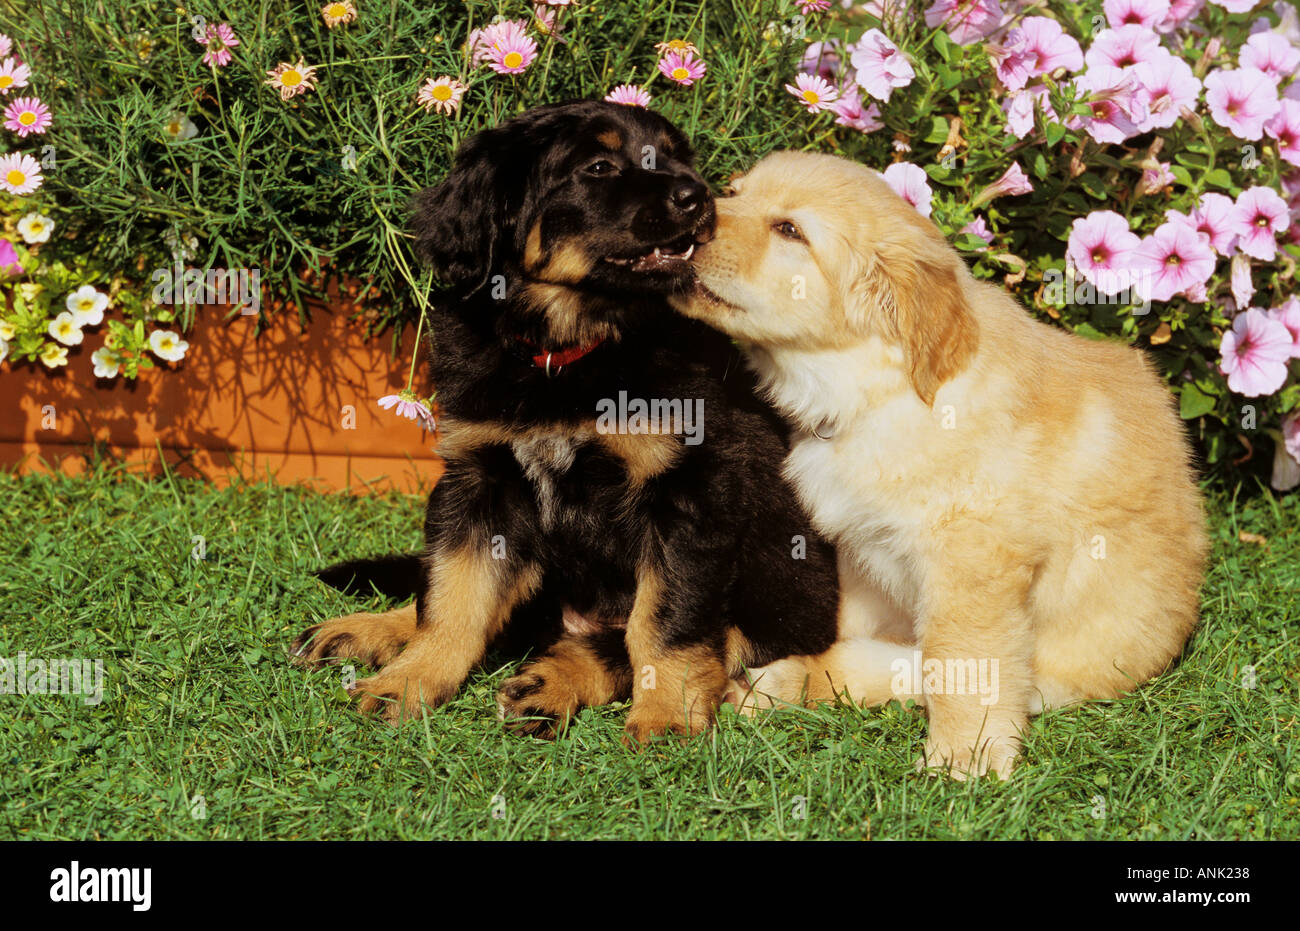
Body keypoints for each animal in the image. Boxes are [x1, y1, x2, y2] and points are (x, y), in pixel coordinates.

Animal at [292, 102, 842, 743]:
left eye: (678, 156)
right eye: (597, 167)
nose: (699, 196)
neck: (571, 350)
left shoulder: (689, 489)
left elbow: (664, 622)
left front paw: (666, 716)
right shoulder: (479, 478)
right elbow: (453, 596)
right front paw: (409, 681)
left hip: (784, 605)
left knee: (622, 639)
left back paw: (546, 685)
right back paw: (372, 631)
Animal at [670, 152, 1206, 780]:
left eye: (790, 230)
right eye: (733, 193)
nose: (692, 220)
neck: (878, 390)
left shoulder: (973, 560)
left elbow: (959, 663)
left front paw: (963, 762)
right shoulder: (863, 550)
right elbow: (859, 627)